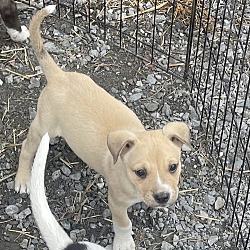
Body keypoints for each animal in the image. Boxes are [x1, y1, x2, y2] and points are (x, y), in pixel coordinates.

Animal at [15, 5, 191, 250]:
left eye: (173, 167)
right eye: (140, 172)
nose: (163, 197)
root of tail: (59, 76)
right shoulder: (115, 202)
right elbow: (124, 223)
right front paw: (124, 242)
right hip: (42, 126)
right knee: (26, 147)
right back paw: (22, 180)